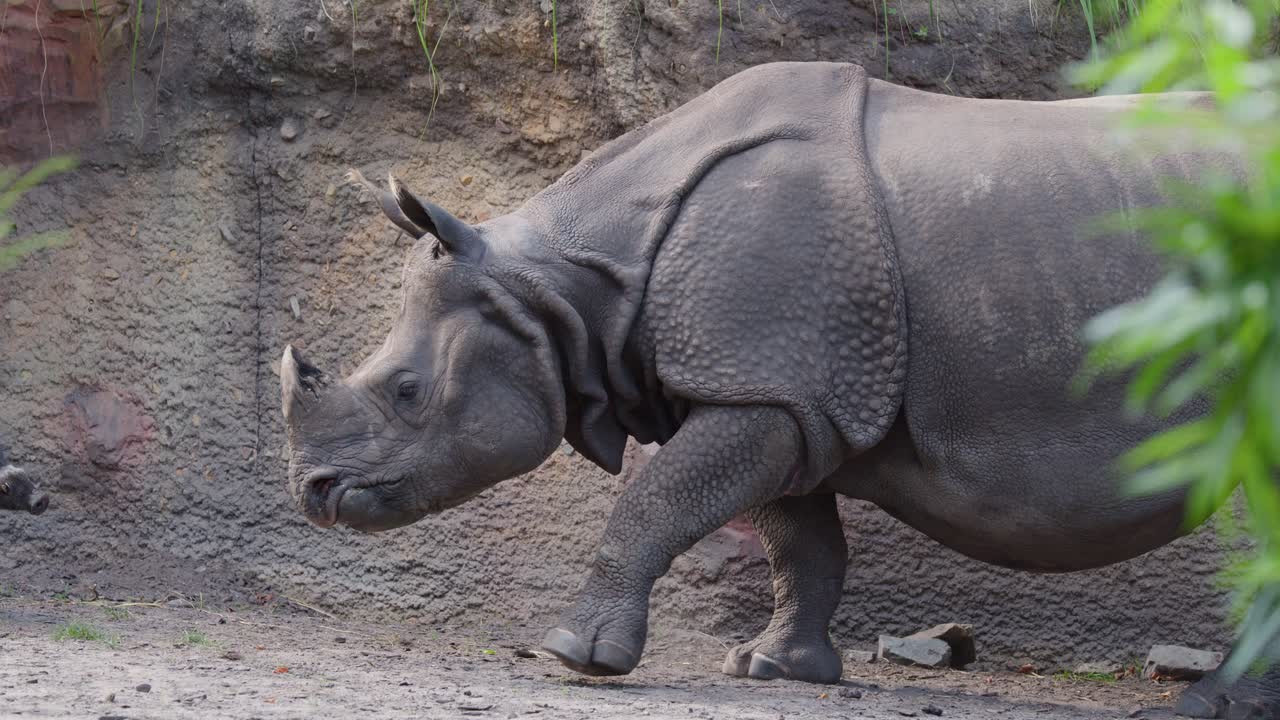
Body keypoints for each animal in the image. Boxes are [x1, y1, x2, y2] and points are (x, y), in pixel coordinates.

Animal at [281, 62, 1266, 718]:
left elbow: (654, 500)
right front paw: (770, 668)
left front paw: (575, 656)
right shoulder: (785, 393)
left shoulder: (763, 387)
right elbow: (801, 544)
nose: (313, 494)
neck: (563, 286)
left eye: (408, 391)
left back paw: (1216, 706)